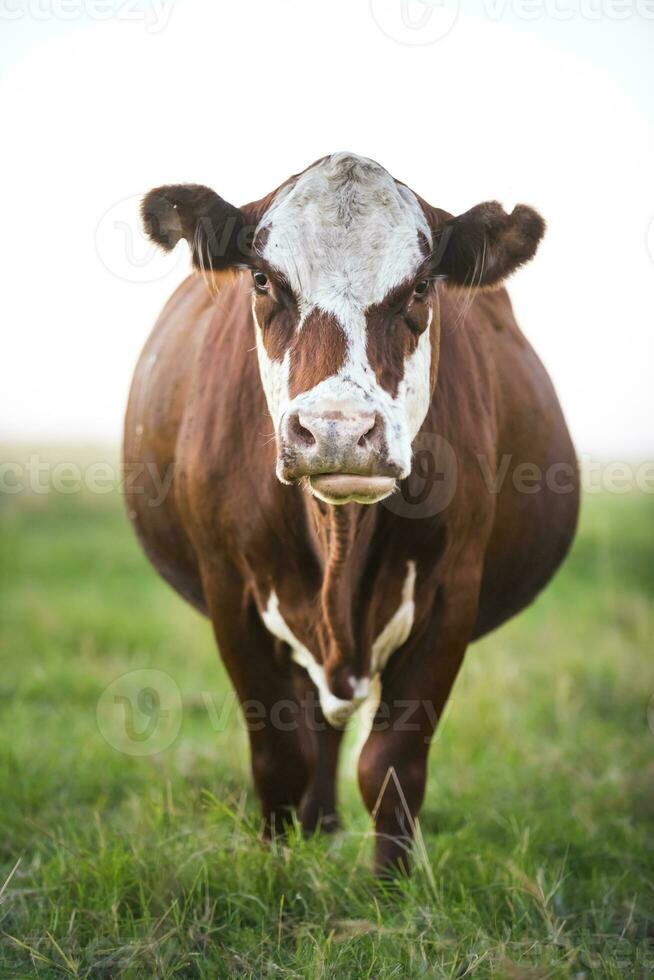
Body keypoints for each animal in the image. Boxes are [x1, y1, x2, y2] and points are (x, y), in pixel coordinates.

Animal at [125, 155, 580, 880]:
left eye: (421, 287)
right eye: (262, 278)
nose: (337, 430)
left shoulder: (451, 594)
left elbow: (390, 766)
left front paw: (390, 888)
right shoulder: (231, 592)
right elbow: (279, 757)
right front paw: (277, 871)